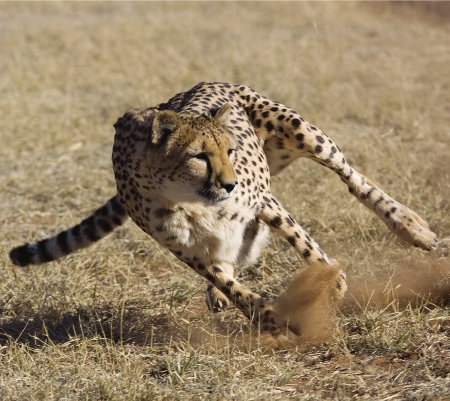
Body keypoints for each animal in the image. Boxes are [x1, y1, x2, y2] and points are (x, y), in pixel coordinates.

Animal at [8, 81, 438, 334]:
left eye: (229, 151)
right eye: (199, 156)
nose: (230, 182)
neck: (190, 201)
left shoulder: (264, 201)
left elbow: (307, 246)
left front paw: (332, 284)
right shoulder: (182, 248)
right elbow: (227, 281)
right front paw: (266, 318)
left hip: (304, 134)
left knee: (353, 178)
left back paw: (411, 225)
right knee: (230, 254)